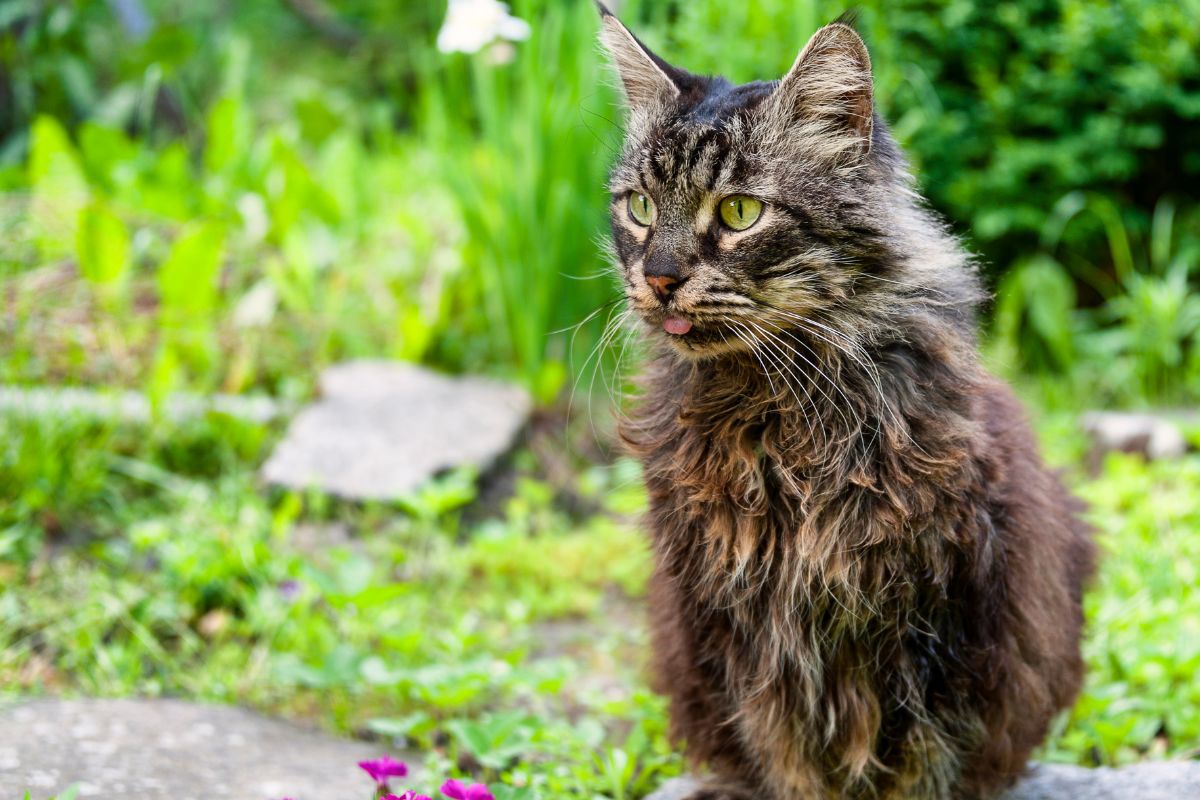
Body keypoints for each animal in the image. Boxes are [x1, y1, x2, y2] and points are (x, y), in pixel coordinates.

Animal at [597, 6, 1099, 800]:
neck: (780, 410)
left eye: (739, 212)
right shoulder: (742, 626)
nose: (660, 278)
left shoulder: (934, 623)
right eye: (640, 207)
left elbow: (917, 763)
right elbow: (787, 755)